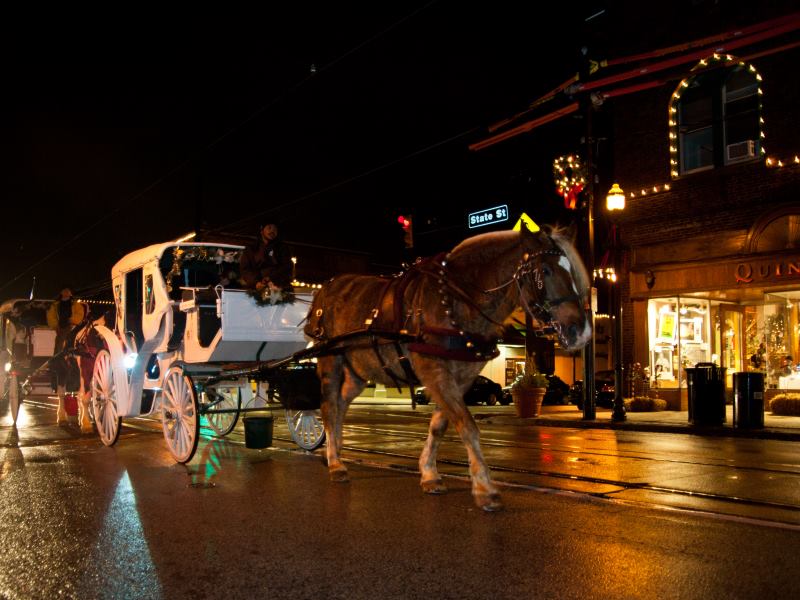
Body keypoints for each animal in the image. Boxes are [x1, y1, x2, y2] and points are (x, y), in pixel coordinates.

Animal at [304, 225, 592, 510]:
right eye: (545, 270)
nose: (582, 331)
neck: (455, 301)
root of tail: (325, 289)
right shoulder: (434, 370)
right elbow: (466, 425)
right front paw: (485, 487)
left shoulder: (462, 377)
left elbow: (440, 425)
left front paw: (430, 474)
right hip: (331, 360)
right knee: (329, 407)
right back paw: (336, 463)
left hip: (358, 372)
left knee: (341, 404)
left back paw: (335, 450)